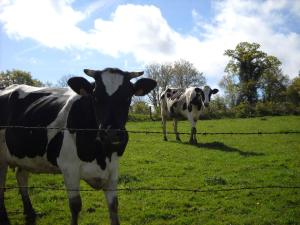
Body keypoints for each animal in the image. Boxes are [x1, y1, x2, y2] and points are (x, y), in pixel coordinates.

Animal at [0, 67, 158, 225]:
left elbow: (114, 205)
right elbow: (75, 205)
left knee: (21, 176)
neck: (101, 155)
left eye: (127, 97)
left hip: (23, 156)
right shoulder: (69, 168)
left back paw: (30, 212)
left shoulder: (113, 169)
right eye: (96, 98)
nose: (112, 133)